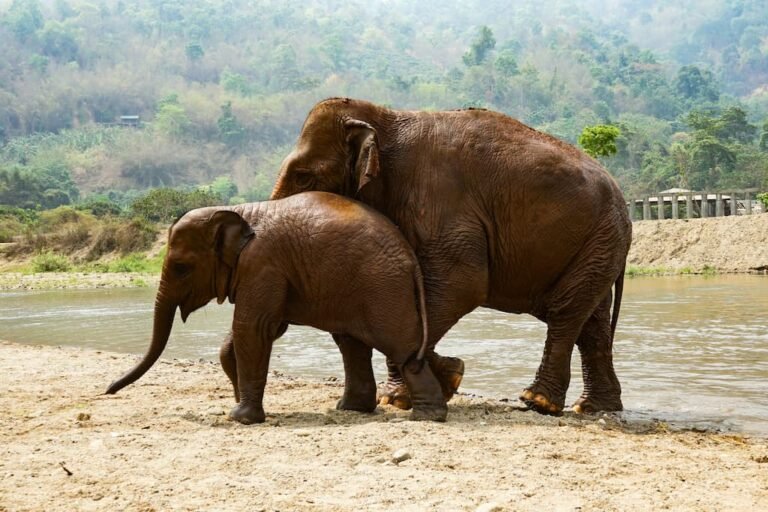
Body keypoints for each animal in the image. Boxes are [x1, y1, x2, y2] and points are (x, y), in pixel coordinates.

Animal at [105, 192, 448, 424]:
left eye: (181, 267)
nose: (108, 390)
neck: (237, 213)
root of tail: (409, 255)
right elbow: (261, 329)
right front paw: (239, 406)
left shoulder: (262, 265)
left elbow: (252, 328)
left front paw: (240, 418)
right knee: (351, 343)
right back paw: (352, 409)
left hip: (382, 285)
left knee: (401, 347)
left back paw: (429, 416)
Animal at [270, 97, 632, 416]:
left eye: (303, 176)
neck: (385, 117)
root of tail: (621, 196)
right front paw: (448, 375)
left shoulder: (443, 202)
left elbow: (462, 285)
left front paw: (402, 397)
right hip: (596, 246)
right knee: (592, 323)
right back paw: (593, 407)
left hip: (600, 239)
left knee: (565, 312)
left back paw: (538, 402)